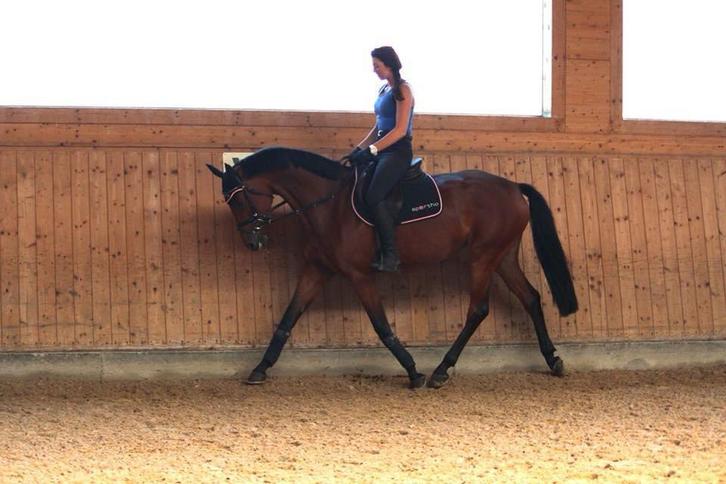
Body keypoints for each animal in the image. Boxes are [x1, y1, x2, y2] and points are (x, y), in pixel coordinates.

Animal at [207, 147, 577, 389]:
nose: (252, 241)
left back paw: (441, 371)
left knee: (478, 310)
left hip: (483, 257)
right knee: (530, 298)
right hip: (503, 256)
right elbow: (287, 319)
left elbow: (381, 326)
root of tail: (513, 187)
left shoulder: (359, 275)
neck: (330, 205)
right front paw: (260, 368)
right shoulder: (317, 270)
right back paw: (553, 360)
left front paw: (413, 372)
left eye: (238, 198)